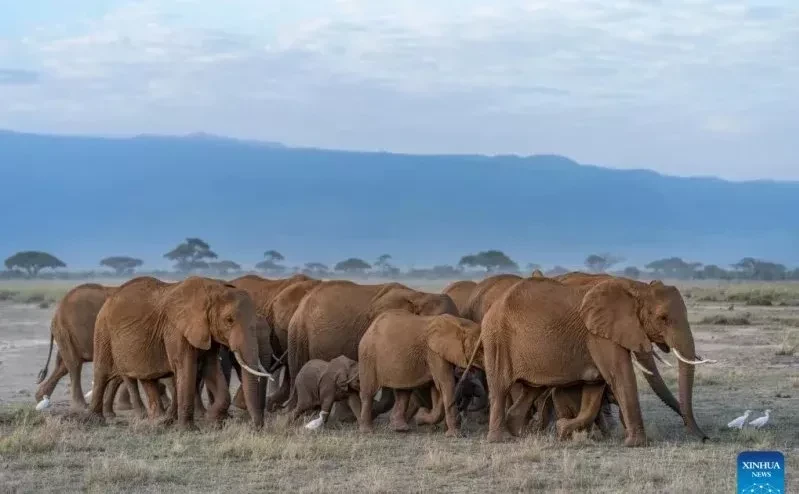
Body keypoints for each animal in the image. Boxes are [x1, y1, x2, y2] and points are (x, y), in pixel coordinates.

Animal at [35, 283, 138, 412]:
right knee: (74, 364)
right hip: (67, 330)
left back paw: (40, 397)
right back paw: (80, 407)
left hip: (65, 333)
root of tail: (56, 312)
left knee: (62, 365)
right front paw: (125, 408)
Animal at [88, 276, 273, 429]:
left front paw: (212, 420)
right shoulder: (175, 329)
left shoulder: (206, 332)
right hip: (102, 330)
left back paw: (159, 422)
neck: (213, 289)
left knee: (148, 378)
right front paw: (189, 429)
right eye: (229, 320)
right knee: (103, 373)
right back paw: (96, 420)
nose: (256, 428)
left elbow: (211, 368)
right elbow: (186, 367)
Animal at [471, 274, 714, 446]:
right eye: (662, 318)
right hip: (497, 340)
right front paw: (637, 444)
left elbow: (595, 387)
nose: (705, 438)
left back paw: (516, 433)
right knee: (500, 387)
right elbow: (619, 376)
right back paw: (501, 439)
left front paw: (563, 430)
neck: (637, 288)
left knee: (532, 389)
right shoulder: (598, 335)